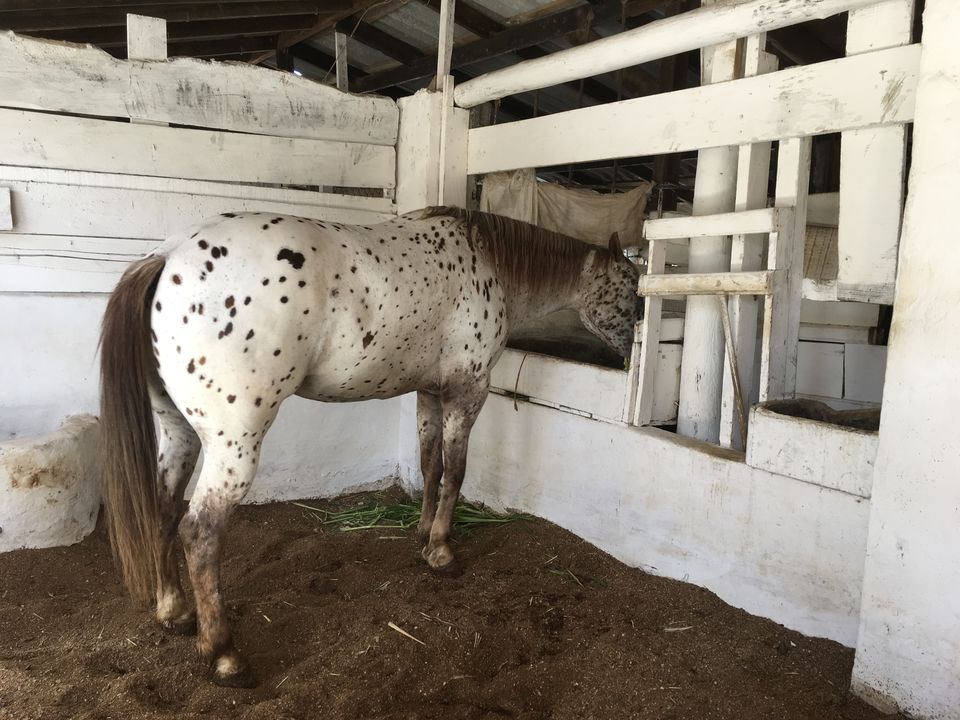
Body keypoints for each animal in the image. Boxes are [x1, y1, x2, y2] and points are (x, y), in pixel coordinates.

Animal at [99, 206, 641, 687]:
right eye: (632, 291)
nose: (630, 349)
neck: (487, 259)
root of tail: (167, 255)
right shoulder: (467, 391)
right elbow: (456, 471)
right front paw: (443, 553)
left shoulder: (430, 392)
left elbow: (430, 464)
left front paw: (422, 535)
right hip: (234, 444)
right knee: (200, 532)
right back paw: (224, 656)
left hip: (179, 431)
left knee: (164, 508)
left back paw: (173, 612)